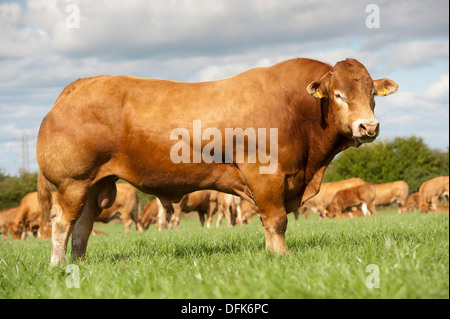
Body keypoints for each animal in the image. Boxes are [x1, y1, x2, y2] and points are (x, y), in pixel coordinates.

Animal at [37, 58, 400, 268]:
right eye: (338, 95)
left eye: (372, 94)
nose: (368, 127)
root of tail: (79, 84)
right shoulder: (266, 175)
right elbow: (277, 220)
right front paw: (282, 256)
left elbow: (268, 222)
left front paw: (271, 254)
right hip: (73, 181)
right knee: (61, 222)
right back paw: (58, 266)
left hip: (95, 183)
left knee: (82, 225)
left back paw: (79, 263)